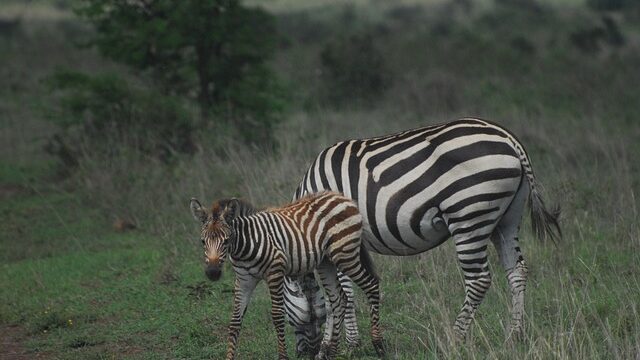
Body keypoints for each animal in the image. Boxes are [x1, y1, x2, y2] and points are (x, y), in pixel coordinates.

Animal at [188, 193, 382, 358]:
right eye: (203, 241)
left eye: (226, 241)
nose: (213, 273)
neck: (246, 245)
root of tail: (341, 197)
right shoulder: (244, 280)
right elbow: (235, 320)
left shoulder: (275, 271)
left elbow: (277, 315)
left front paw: (283, 355)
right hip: (326, 262)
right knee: (338, 299)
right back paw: (332, 352)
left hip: (345, 255)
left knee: (372, 285)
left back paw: (378, 345)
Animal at [284, 117, 560, 354]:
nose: (302, 353)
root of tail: (510, 139)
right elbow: (342, 293)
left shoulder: (337, 237)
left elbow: (342, 294)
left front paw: (348, 343)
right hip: (506, 220)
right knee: (517, 271)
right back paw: (514, 336)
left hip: (469, 214)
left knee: (479, 280)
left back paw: (454, 339)